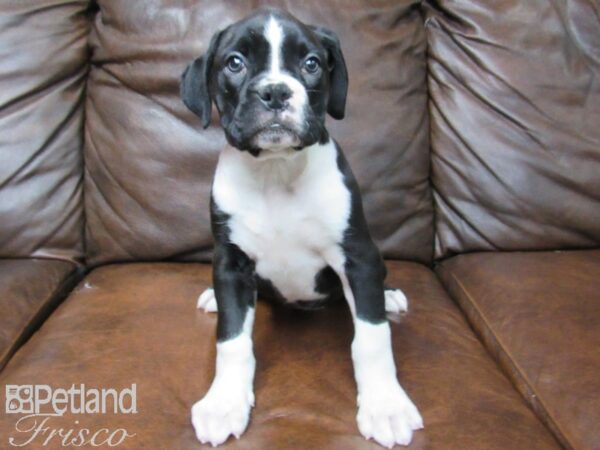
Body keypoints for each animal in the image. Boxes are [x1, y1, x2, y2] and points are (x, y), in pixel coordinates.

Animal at [182, 7, 422, 450]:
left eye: (311, 64)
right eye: (234, 63)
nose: (276, 92)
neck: (276, 171)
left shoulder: (358, 257)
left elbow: (373, 338)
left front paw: (385, 405)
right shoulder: (231, 265)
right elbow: (232, 341)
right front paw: (224, 403)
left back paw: (390, 294)